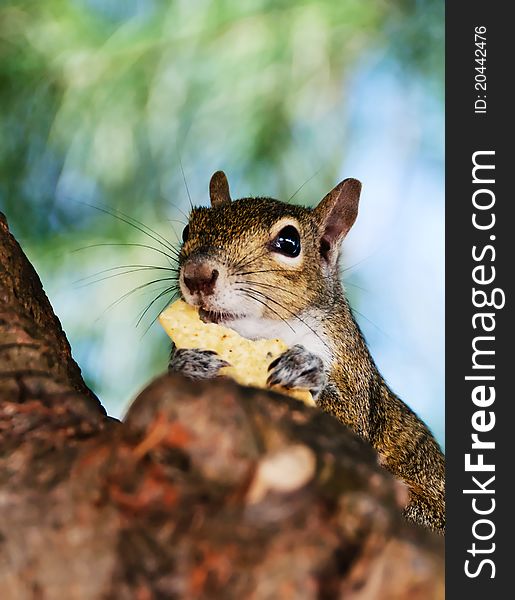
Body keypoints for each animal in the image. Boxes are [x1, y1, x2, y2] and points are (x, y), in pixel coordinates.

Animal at [170, 171, 448, 532]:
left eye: (289, 242)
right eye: (187, 230)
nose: (197, 275)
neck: (263, 332)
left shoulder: (350, 368)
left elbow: (349, 425)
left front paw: (304, 370)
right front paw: (187, 363)